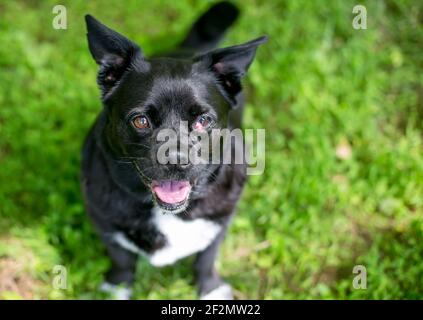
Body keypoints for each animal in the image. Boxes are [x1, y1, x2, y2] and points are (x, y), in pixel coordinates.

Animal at [81, 1, 266, 298]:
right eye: (140, 120)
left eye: (203, 120)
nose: (175, 161)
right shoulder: (104, 223)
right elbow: (121, 259)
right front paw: (116, 288)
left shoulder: (220, 223)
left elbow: (206, 258)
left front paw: (210, 288)